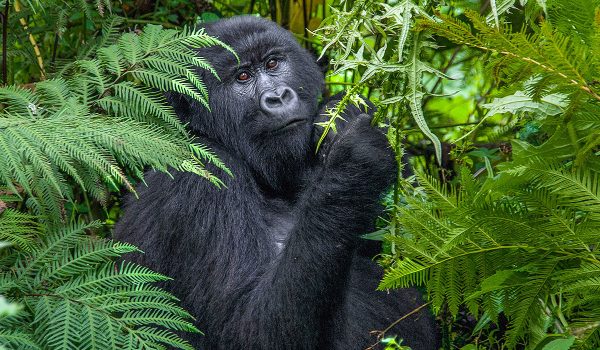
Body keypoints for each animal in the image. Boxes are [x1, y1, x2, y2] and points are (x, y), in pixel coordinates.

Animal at [116, 15, 436, 350]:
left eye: (272, 63)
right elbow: (250, 329)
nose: (278, 96)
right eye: (242, 77)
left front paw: (345, 112)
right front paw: (356, 159)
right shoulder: (200, 181)